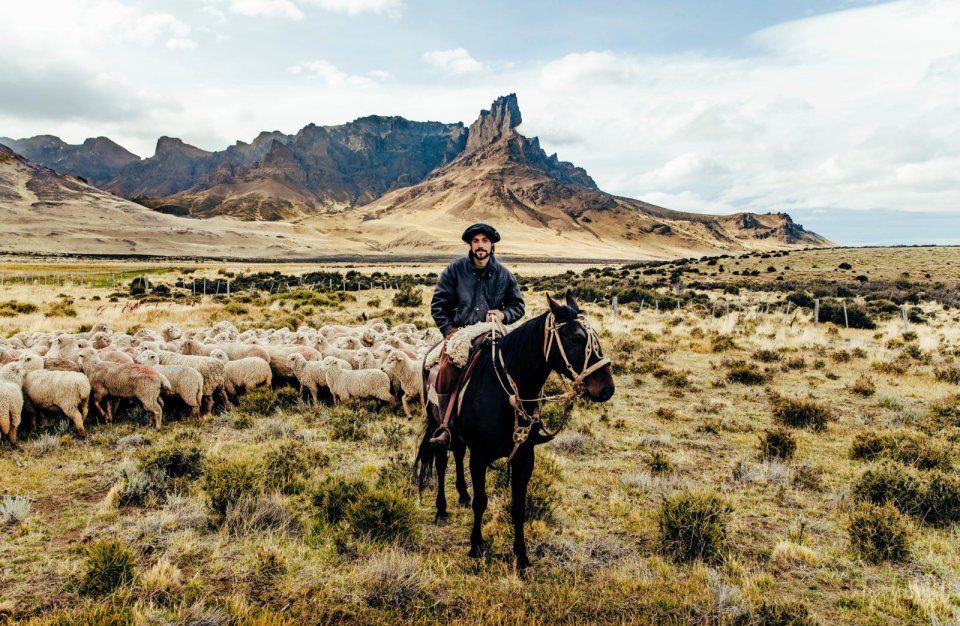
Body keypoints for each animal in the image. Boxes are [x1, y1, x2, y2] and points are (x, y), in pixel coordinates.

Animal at [414, 292, 616, 564]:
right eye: (576, 338)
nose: (606, 388)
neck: (508, 390)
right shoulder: (479, 457)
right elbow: (481, 502)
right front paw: (476, 546)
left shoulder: (525, 457)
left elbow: (519, 506)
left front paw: (521, 555)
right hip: (437, 423)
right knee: (441, 461)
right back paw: (442, 508)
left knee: (457, 452)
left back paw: (463, 495)